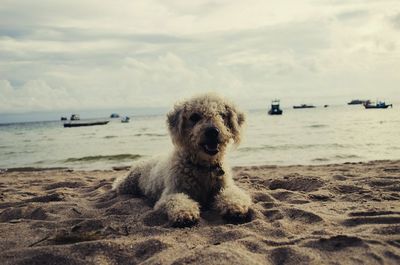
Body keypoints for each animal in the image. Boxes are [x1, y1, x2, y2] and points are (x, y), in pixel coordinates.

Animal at [113, 93, 250, 227]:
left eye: (222, 115)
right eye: (194, 117)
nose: (212, 131)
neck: (202, 166)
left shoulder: (226, 187)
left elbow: (233, 194)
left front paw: (235, 206)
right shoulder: (170, 193)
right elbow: (178, 199)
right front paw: (184, 212)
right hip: (128, 183)